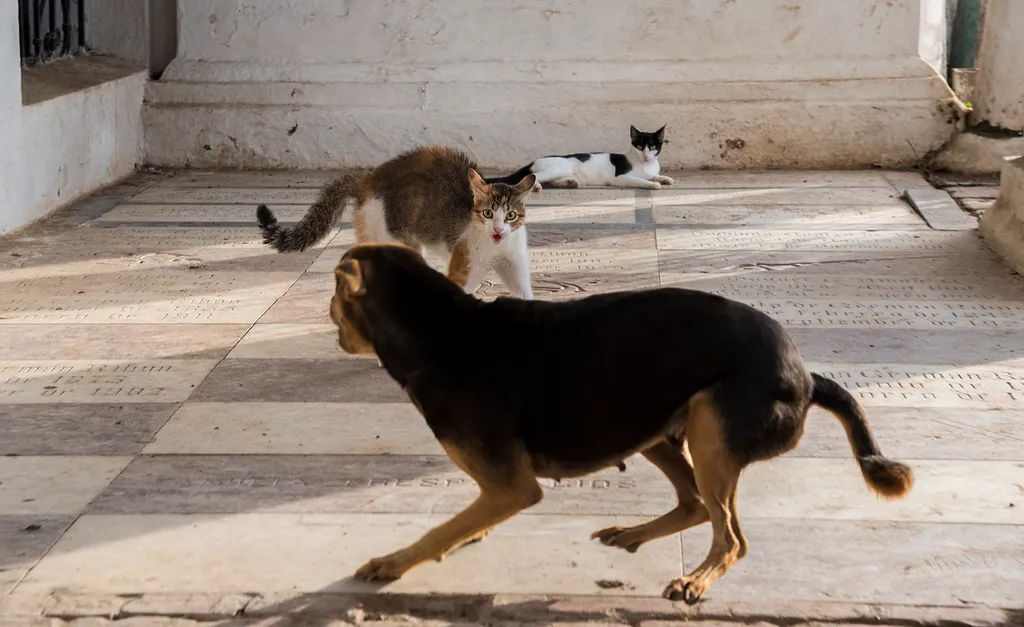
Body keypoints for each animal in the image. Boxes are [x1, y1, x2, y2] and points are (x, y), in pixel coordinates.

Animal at [254, 144, 536, 299]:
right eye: (487, 213)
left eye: (510, 216)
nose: (498, 228)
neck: (495, 247)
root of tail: (370, 179)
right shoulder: (464, 264)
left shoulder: (513, 263)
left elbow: (523, 291)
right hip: (390, 236)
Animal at [331, 243, 917, 602]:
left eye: (335, 298)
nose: (331, 324)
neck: (440, 331)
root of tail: (806, 375)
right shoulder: (499, 489)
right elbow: (462, 522)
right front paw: (460, 537)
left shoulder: (513, 487)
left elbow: (440, 529)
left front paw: (392, 562)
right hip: (652, 426)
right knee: (695, 504)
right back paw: (635, 534)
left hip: (708, 425)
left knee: (730, 536)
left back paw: (696, 579)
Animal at [487, 123, 671, 189]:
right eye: (639, 146)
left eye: (652, 147)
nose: (646, 155)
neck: (645, 164)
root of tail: (534, 160)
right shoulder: (620, 178)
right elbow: (640, 180)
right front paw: (653, 184)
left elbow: (653, 175)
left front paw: (664, 178)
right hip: (559, 167)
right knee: (532, 177)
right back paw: (535, 186)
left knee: (549, 180)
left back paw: (568, 183)